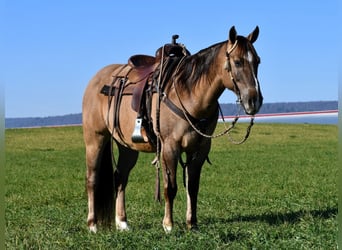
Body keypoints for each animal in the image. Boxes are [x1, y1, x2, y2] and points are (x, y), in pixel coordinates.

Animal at [82, 25, 262, 232]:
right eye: (238, 62)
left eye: (257, 61)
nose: (254, 101)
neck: (189, 93)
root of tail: (96, 80)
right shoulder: (170, 147)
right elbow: (171, 187)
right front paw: (168, 225)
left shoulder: (200, 149)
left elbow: (192, 187)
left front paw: (192, 223)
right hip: (95, 139)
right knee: (92, 179)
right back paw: (93, 225)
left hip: (128, 147)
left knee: (120, 177)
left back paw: (122, 222)